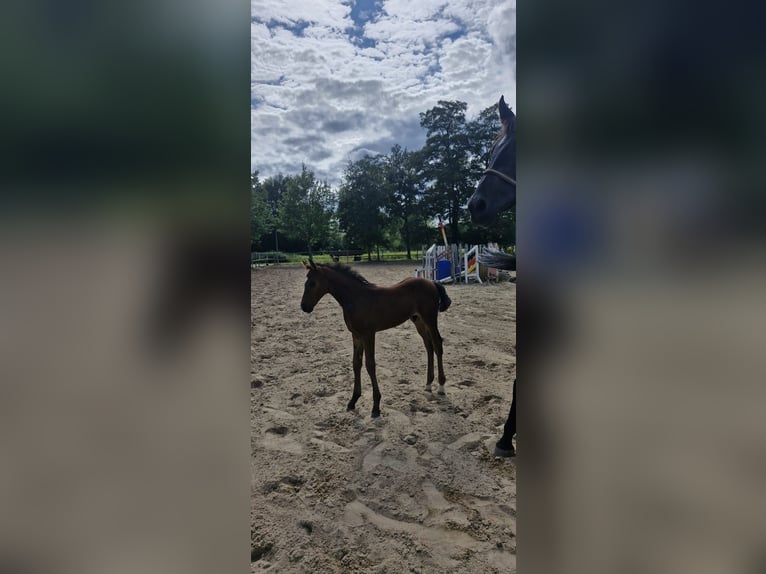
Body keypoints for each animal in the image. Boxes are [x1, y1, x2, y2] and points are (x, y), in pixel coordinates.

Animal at [302, 262, 452, 418]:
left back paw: (441, 386)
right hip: (418, 321)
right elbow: (356, 364)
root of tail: (432, 282)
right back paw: (428, 384)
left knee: (437, 344)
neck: (356, 298)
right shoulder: (356, 335)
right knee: (429, 346)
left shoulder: (368, 334)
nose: (304, 307)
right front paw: (353, 401)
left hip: (430, 319)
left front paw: (376, 407)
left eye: (312, 283)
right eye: (305, 283)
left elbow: (370, 365)